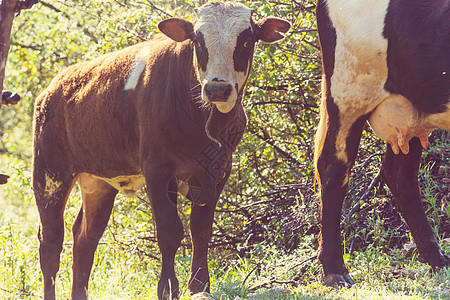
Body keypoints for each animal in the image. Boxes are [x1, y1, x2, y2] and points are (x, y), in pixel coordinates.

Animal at [314, 0, 448, 286]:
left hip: (410, 110)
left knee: (399, 174)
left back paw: (437, 258)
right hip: (349, 91)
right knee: (333, 168)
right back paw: (335, 270)